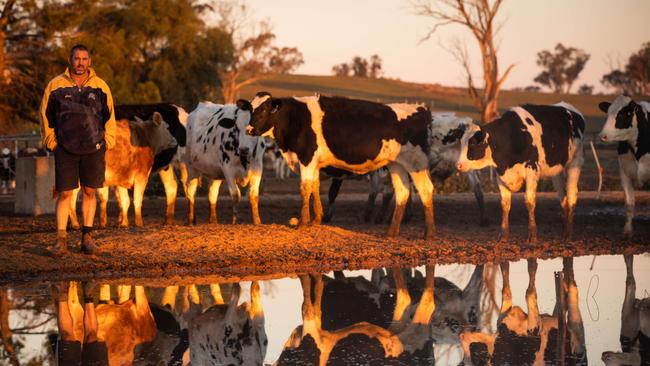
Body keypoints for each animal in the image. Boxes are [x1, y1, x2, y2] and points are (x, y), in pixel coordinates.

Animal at [248, 93, 436, 239]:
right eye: (251, 108)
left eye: (263, 109)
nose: (249, 130)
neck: (295, 118)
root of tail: (422, 110)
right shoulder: (314, 163)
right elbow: (315, 187)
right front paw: (316, 219)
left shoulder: (307, 159)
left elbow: (305, 189)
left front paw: (302, 222)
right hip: (397, 165)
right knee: (402, 192)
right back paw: (391, 232)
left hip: (416, 163)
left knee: (426, 189)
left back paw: (428, 234)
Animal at [454, 102, 584, 243]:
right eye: (461, 143)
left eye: (473, 144)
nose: (458, 165)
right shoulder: (501, 175)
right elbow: (505, 204)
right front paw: (504, 235)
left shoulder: (532, 169)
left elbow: (529, 202)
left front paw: (532, 235)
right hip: (557, 171)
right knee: (563, 198)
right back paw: (564, 232)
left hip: (574, 163)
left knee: (571, 195)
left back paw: (568, 235)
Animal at [596, 94, 648, 237]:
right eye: (608, 113)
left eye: (623, 114)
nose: (603, 136)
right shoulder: (625, 174)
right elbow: (629, 204)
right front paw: (627, 230)